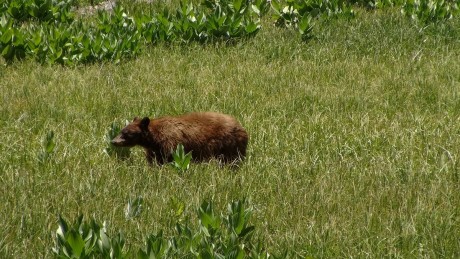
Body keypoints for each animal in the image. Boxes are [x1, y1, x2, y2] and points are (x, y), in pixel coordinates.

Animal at [110, 112, 248, 166]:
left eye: (126, 133)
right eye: (121, 130)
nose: (113, 141)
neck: (154, 138)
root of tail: (241, 126)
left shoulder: (169, 143)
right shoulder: (154, 150)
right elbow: (154, 161)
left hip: (229, 145)